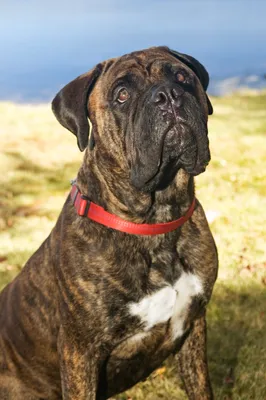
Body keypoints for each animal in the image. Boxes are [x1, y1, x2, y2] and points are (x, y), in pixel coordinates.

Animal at [0, 47, 218, 400]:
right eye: (122, 95)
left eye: (181, 77)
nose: (168, 95)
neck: (156, 221)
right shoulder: (79, 352)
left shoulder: (194, 323)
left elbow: (201, 387)